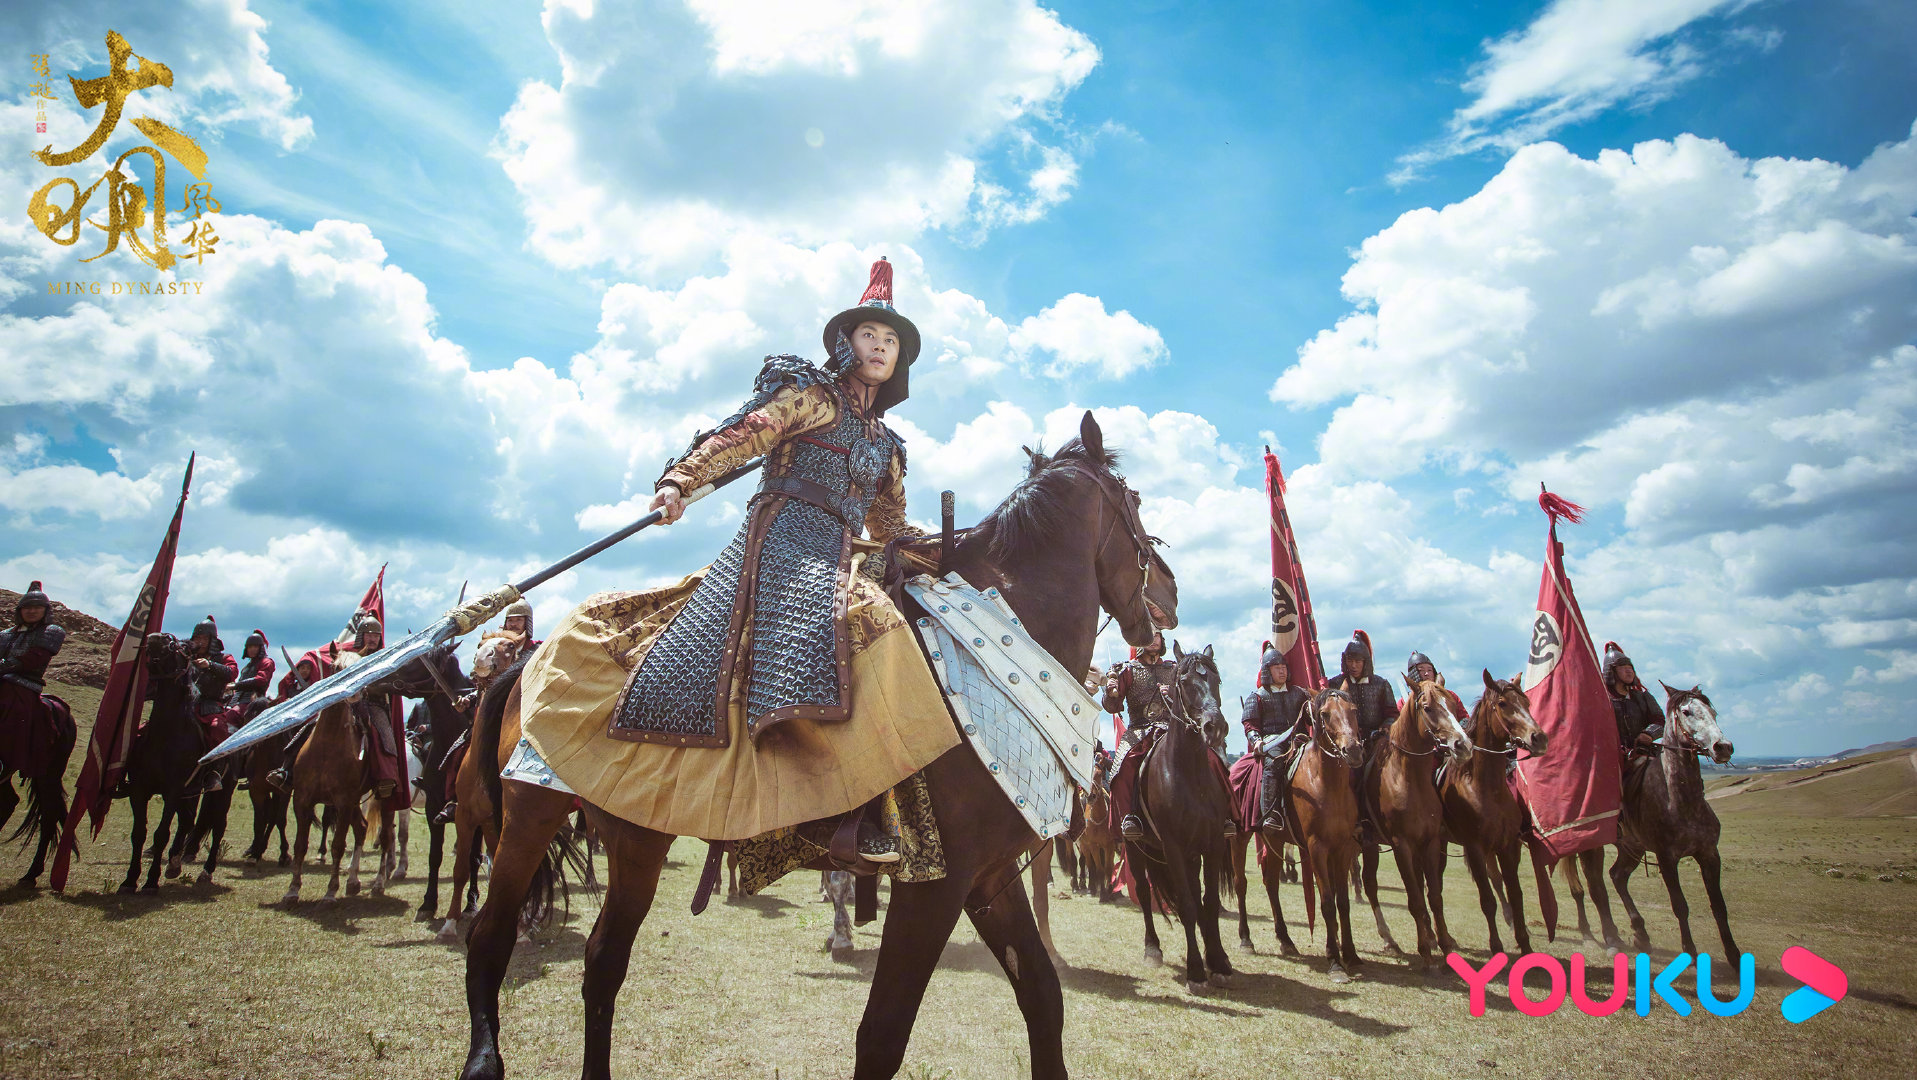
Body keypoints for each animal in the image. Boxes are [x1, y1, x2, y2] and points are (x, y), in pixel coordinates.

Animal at [458, 412, 1173, 1080]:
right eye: (1135, 500)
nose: (1167, 593)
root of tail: (524, 661)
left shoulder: (990, 878)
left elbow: (1044, 1000)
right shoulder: (936, 884)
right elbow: (882, 1034)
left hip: (637, 835)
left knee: (604, 962)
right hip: (531, 814)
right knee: (490, 938)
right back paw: (483, 1057)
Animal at [1127, 648, 1234, 989]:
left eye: (1216, 680)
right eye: (1185, 682)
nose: (1215, 726)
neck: (1188, 773)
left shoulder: (1212, 844)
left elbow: (1208, 903)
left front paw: (1218, 960)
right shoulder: (1172, 847)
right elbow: (1187, 906)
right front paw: (1196, 970)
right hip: (1134, 847)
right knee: (1144, 892)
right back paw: (1152, 949)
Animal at [1357, 682, 1472, 970]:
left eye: (1452, 705)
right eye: (1428, 708)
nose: (1462, 745)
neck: (1408, 777)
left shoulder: (1430, 843)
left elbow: (1434, 896)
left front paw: (1444, 944)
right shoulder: (1403, 846)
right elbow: (1415, 898)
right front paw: (1427, 953)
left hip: (1370, 844)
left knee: (1370, 884)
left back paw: (1391, 939)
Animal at [1441, 671, 1548, 959]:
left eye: (1527, 703)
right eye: (1502, 704)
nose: (1539, 738)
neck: (1486, 786)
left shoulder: (1508, 845)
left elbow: (1515, 892)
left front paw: (1524, 943)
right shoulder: (1475, 847)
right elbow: (1487, 899)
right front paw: (1496, 946)